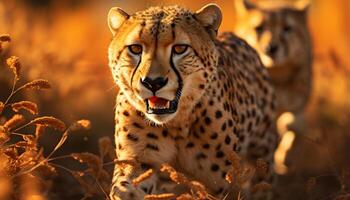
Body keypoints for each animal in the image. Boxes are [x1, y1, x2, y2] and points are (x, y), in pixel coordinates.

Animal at [108, 3, 278, 200]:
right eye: (135, 48)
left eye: (180, 49)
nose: (153, 82)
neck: (176, 124)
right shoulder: (139, 163)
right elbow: (126, 189)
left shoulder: (220, 183)